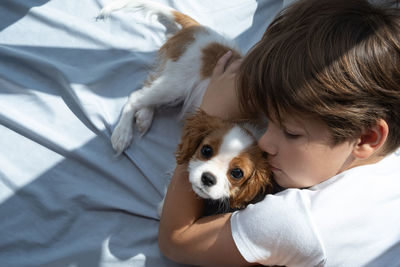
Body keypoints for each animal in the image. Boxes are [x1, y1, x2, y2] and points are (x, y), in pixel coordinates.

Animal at [98, 1, 276, 213]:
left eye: (237, 173)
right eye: (206, 150)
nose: (207, 178)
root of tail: (198, 28)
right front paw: (163, 206)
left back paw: (144, 117)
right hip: (175, 84)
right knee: (136, 97)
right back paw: (122, 134)